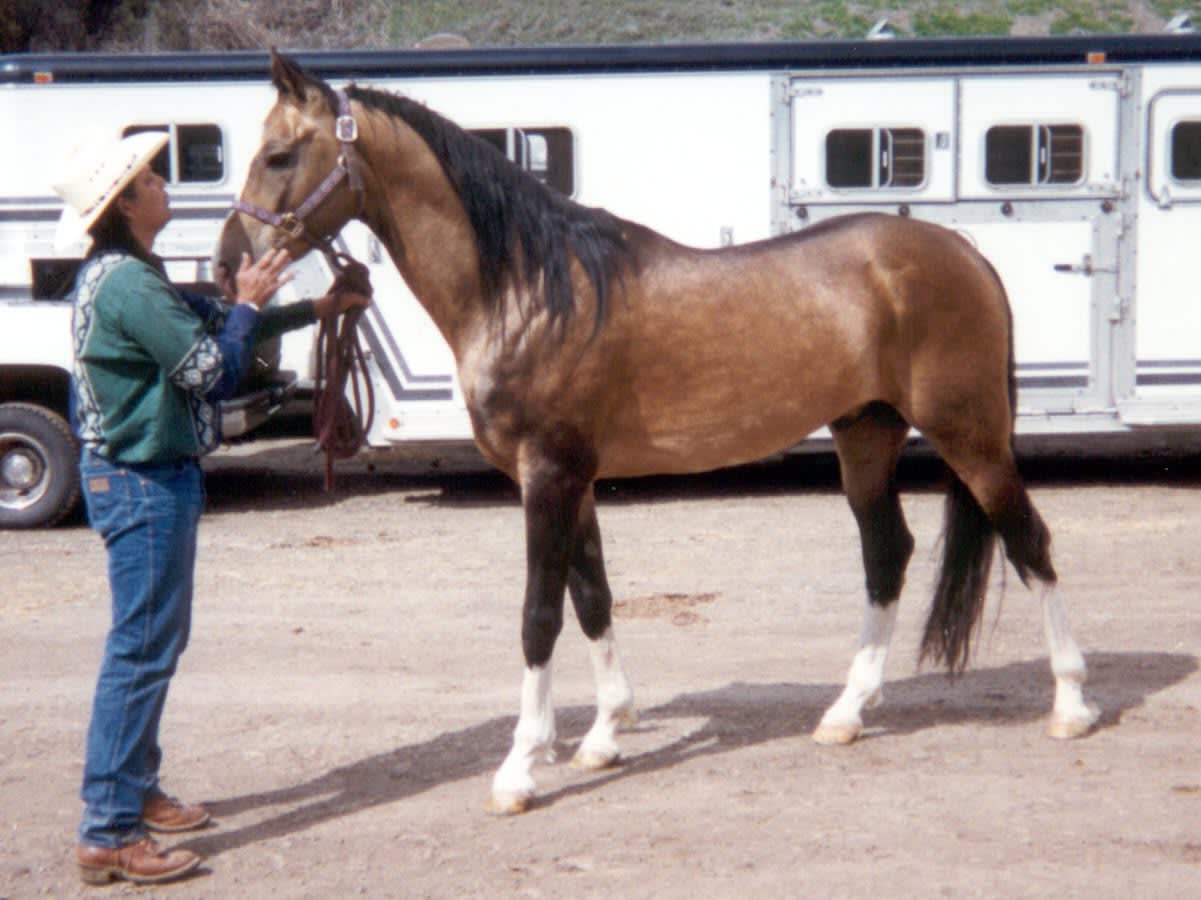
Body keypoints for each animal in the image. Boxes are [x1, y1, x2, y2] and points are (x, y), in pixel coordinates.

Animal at [217, 51, 1099, 815]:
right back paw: (846, 713)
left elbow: (539, 615)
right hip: (866, 436)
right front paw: (604, 736)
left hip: (970, 435)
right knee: (888, 555)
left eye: (281, 154)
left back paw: (1069, 705)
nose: (230, 266)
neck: (530, 291)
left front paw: (519, 769)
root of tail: (962, 254)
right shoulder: (570, 479)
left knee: (1030, 542)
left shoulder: (548, 474)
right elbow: (593, 596)